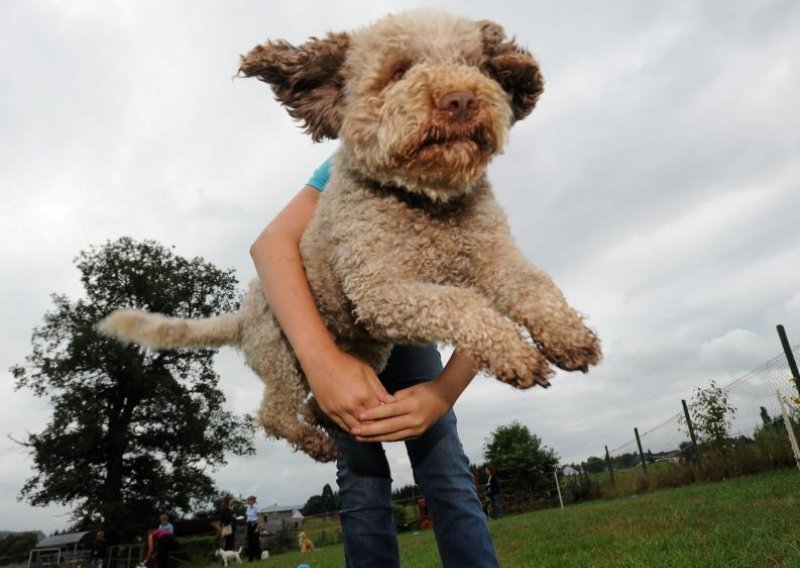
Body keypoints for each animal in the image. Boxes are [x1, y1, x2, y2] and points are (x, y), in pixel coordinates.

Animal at [98, 8, 600, 462]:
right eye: (398, 71)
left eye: (478, 66)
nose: (461, 99)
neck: (426, 203)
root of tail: (242, 315)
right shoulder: (382, 291)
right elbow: (460, 303)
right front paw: (516, 354)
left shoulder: (494, 258)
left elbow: (534, 285)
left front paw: (569, 337)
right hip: (283, 353)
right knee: (273, 413)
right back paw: (316, 441)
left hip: (367, 351)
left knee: (312, 405)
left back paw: (324, 419)